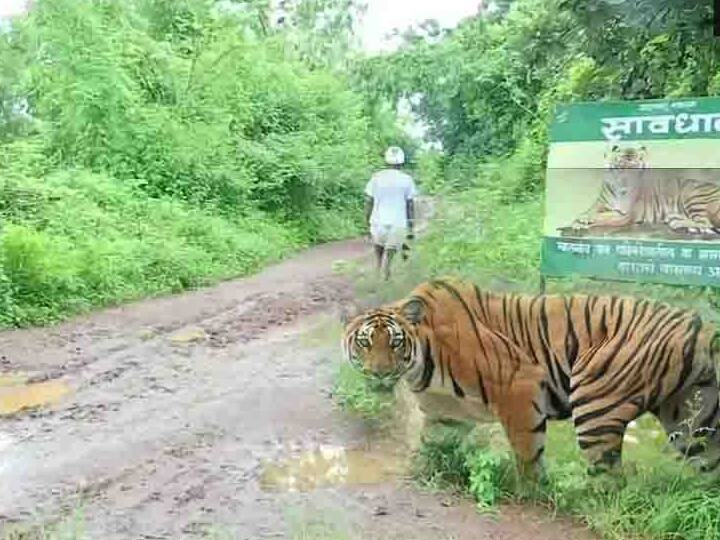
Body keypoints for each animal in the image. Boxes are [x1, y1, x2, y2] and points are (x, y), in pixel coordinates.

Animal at [342, 278, 720, 476]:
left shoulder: (519, 387)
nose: (379, 374)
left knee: (610, 481)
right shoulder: (443, 414)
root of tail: (700, 327)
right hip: (694, 419)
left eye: (394, 342)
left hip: (596, 406)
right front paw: (421, 474)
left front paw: (533, 493)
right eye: (365, 343)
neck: (421, 360)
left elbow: (528, 455)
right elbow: (429, 447)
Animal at [564, 144, 720, 237]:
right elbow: (589, 212)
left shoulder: (625, 215)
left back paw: (679, 224)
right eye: (621, 166)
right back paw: (677, 221)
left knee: (706, 223)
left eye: (635, 167)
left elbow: (602, 218)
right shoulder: (600, 204)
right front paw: (579, 220)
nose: (626, 181)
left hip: (693, 196)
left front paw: (583, 222)